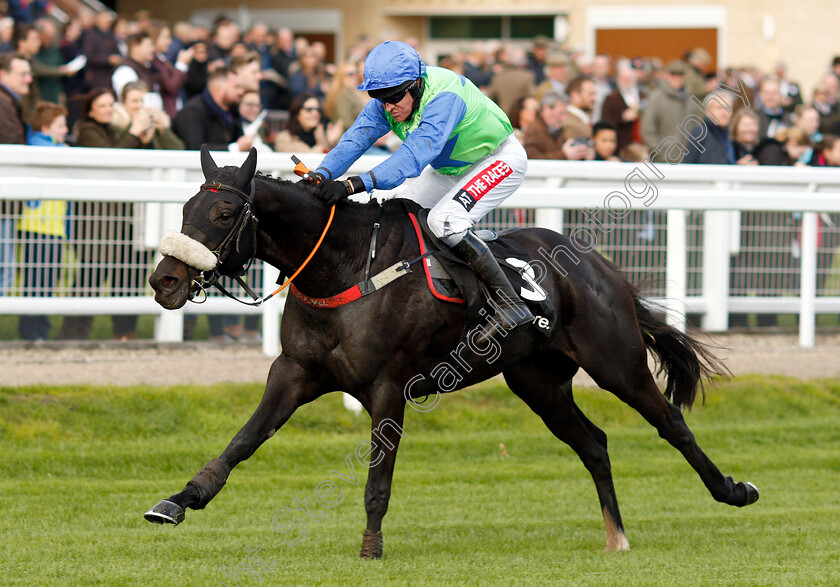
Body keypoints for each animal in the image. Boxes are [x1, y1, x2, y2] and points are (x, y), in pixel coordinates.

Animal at [143, 147, 756, 556]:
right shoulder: (296, 371)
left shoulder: (388, 385)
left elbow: (378, 478)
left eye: (224, 215)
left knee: (671, 422)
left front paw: (371, 547)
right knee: (595, 444)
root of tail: (598, 265)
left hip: (616, 362)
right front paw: (179, 500)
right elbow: (242, 441)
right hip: (538, 382)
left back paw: (733, 490)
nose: (164, 281)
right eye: (184, 210)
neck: (344, 265)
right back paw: (616, 538)